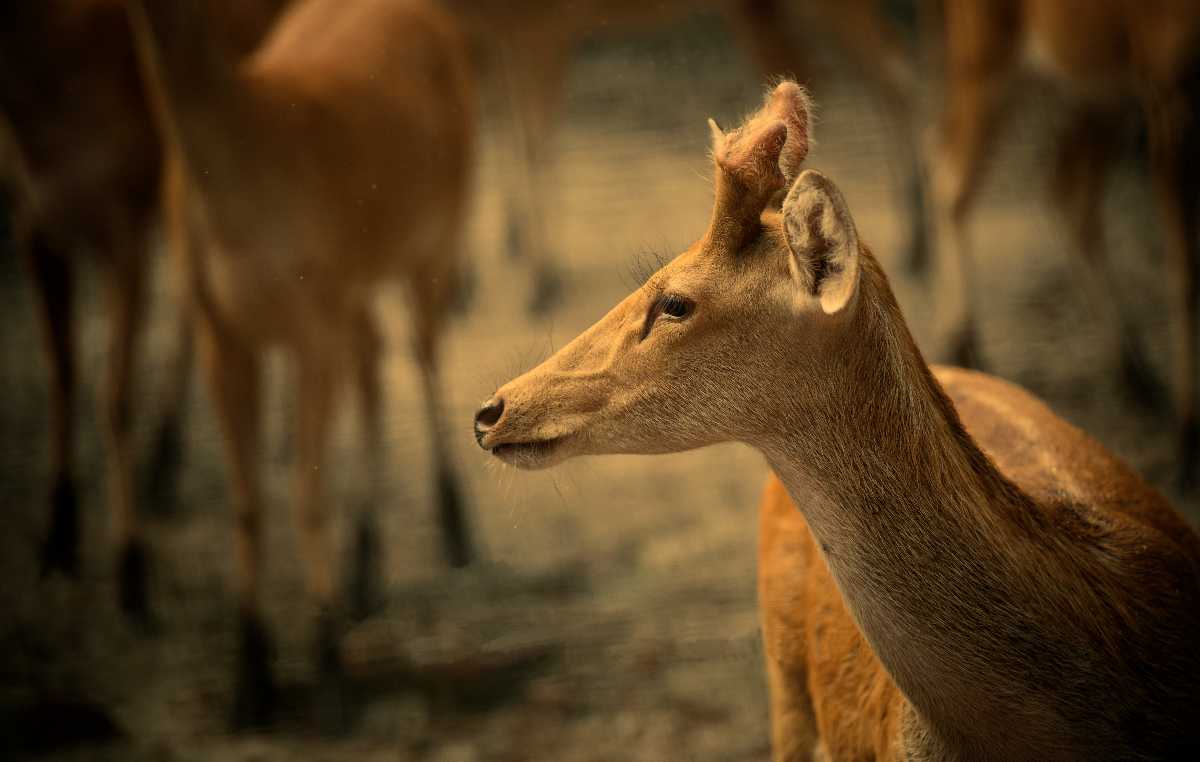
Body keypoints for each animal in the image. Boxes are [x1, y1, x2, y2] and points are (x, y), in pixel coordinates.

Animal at [0, 0, 285, 624]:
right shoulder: (31, 221)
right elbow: (62, 369)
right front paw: (56, 540)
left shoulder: (123, 218)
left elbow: (114, 393)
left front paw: (131, 573)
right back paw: (166, 458)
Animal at [123, 0, 477, 729]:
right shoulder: (220, 328)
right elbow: (248, 500)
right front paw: (249, 682)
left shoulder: (313, 316)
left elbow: (308, 492)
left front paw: (330, 671)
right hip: (357, 280)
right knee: (373, 353)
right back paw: (365, 571)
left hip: (437, 230)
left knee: (423, 350)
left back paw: (458, 533)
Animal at [446, 0, 921, 316]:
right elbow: (496, 130)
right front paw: (487, 266)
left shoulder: (540, 25)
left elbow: (528, 140)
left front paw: (539, 279)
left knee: (891, 70)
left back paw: (918, 241)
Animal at [926, 1, 1200, 489]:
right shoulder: (1167, 84)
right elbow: (1185, 272)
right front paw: (1187, 442)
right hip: (986, 48)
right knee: (951, 172)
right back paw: (964, 343)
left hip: (1096, 89)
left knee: (1067, 191)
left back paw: (1134, 371)